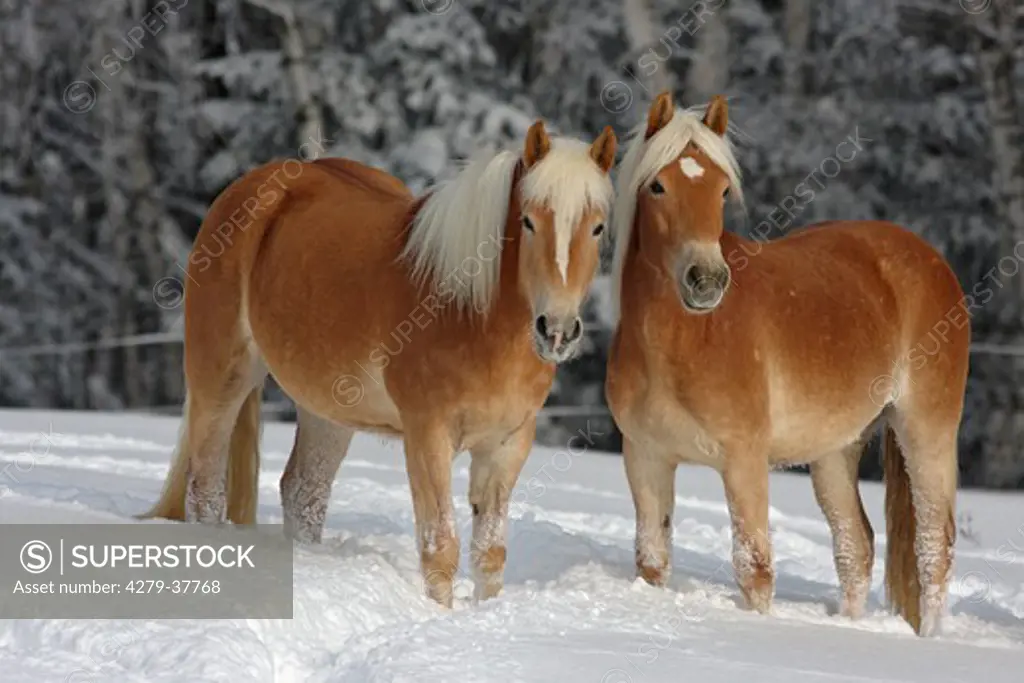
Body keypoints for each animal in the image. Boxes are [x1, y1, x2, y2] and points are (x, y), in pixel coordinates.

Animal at [143, 120, 614, 606]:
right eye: (528, 221)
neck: (469, 312)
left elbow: (490, 555)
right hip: (222, 378)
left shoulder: (507, 446)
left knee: (302, 493)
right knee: (205, 490)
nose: (556, 331)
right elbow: (440, 548)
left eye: (598, 227)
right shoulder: (428, 436)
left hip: (328, 409)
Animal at [606, 89, 966, 634]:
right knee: (854, 547)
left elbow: (754, 568)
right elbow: (652, 561)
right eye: (658, 186)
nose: (706, 280)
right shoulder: (645, 457)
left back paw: (931, 637)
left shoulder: (744, 460)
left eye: (722, 191)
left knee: (932, 548)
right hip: (836, 450)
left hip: (927, 433)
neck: (682, 342)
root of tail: (933, 261)